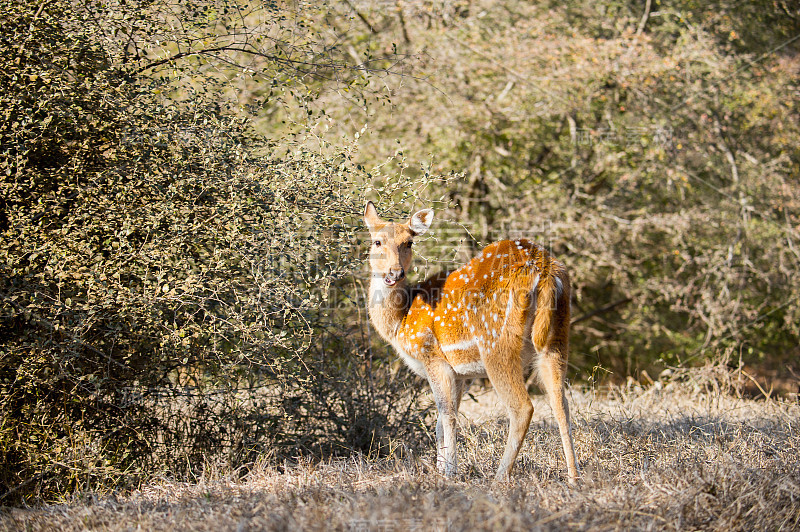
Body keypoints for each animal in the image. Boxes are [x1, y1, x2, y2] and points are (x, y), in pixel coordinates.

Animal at [366, 201, 580, 482]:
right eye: (377, 241)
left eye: (408, 242)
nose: (395, 272)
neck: (401, 323)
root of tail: (545, 272)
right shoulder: (460, 373)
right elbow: (440, 422)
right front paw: (440, 468)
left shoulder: (433, 356)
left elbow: (447, 416)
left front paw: (449, 472)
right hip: (558, 337)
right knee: (561, 402)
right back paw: (574, 477)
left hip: (496, 343)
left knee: (523, 407)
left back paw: (500, 477)